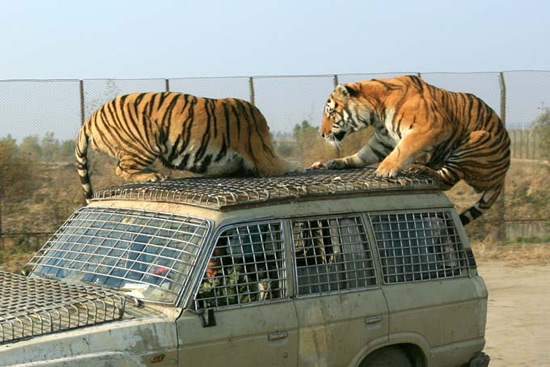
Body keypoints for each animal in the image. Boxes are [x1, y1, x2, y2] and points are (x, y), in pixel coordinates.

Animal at [76, 91, 298, 201]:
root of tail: (91, 118)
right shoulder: (264, 155)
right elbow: (288, 165)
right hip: (146, 142)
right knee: (121, 169)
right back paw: (154, 175)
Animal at [314, 75, 512, 226]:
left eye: (331, 113)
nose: (322, 134)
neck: (376, 112)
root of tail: (502, 177)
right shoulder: (382, 140)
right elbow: (363, 154)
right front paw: (338, 162)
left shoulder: (429, 127)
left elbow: (402, 150)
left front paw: (385, 169)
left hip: (476, 140)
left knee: (447, 180)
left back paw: (421, 168)